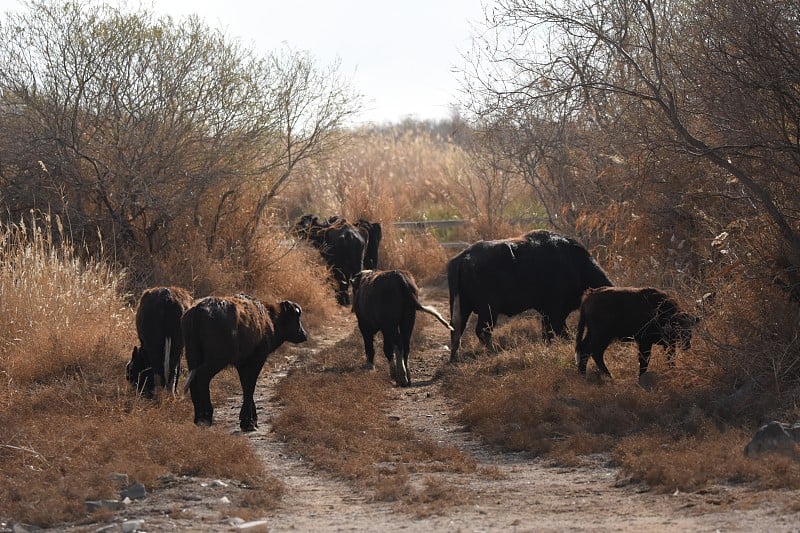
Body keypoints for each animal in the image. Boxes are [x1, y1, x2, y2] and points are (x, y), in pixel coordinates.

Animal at [183, 294, 308, 430]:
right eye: (296, 317)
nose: (303, 334)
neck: (267, 319)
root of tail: (199, 308)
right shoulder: (257, 360)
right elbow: (250, 386)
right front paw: (248, 422)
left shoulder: (242, 364)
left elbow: (245, 386)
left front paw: (250, 419)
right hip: (216, 360)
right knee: (202, 376)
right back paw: (206, 416)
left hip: (192, 359)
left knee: (194, 380)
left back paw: (198, 417)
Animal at [444, 229, 612, 362]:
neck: (576, 265)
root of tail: (464, 257)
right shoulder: (555, 311)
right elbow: (558, 331)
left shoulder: (547, 312)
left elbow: (549, 333)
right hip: (488, 310)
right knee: (482, 331)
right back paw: (493, 351)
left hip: (462, 306)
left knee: (456, 329)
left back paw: (454, 358)